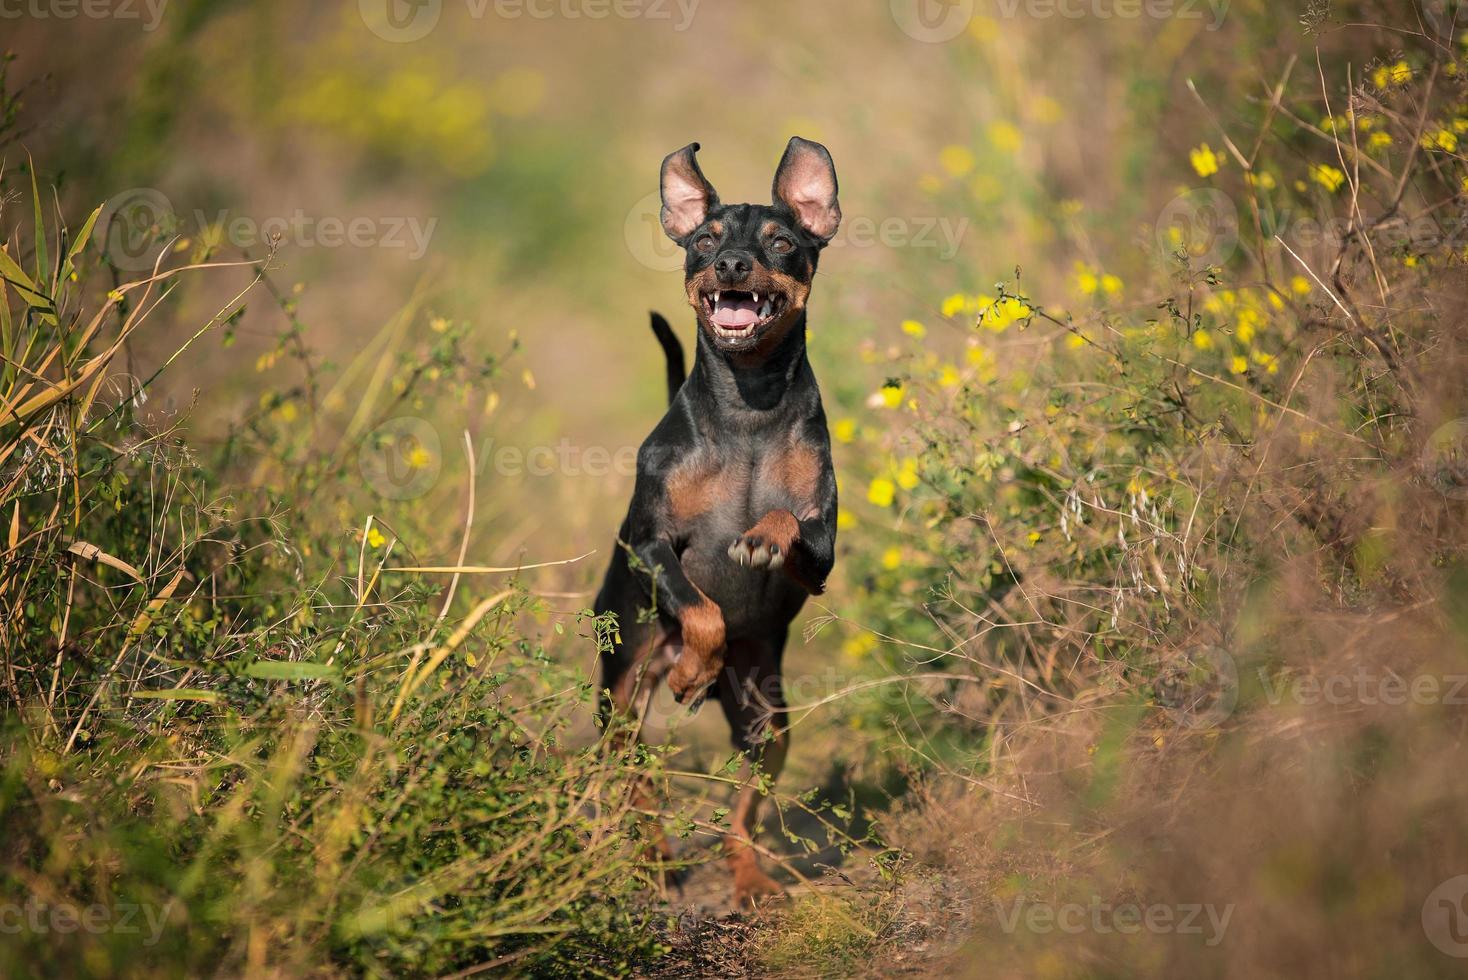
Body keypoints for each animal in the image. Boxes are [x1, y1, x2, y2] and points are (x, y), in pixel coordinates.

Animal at [596, 137, 845, 909]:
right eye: (704, 240)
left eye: (781, 240)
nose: (732, 264)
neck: (748, 407)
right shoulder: (649, 544)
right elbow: (700, 607)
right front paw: (693, 669)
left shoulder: (823, 553)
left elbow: (787, 522)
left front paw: (762, 535)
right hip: (621, 694)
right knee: (635, 780)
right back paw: (652, 860)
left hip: (767, 718)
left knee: (744, 810)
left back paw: (748, 877)